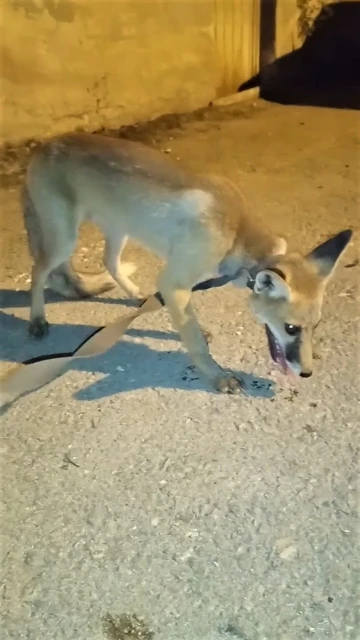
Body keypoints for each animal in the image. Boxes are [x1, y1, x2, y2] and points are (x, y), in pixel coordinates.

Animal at [21, 132, 352, 392]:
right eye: (292, 328)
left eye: (315, 326)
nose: (306, 373)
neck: (234, 231)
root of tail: (46, 145)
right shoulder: (174, 281)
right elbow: (195, 343)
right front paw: (217, 377)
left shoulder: (182, 282)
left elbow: (188, 322)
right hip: (64, 241)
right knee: (38, 272)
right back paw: (37, 320)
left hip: (120, 229)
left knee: (110, 263)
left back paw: (137, 295)